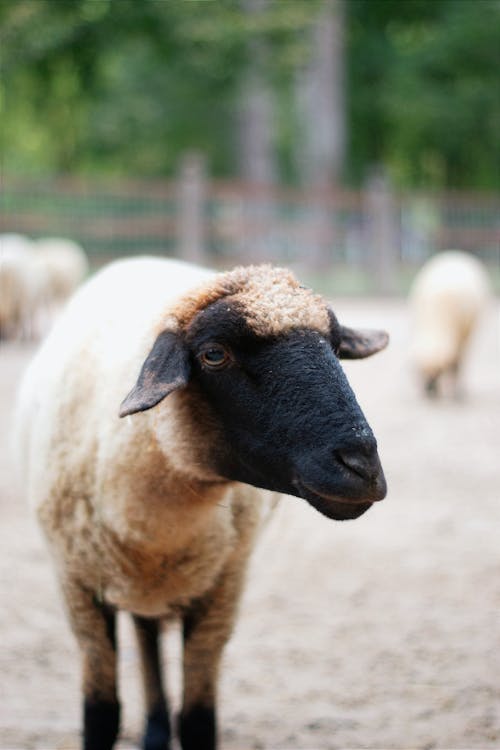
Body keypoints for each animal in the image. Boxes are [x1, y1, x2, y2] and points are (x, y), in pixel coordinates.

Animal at [13, 256, 390, 748]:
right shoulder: (77, 584)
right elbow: (101, 715)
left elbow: (197, 721)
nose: (362, 467)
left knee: (148, 633)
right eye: (213, 354)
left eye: (336, 344)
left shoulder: (222, 588)